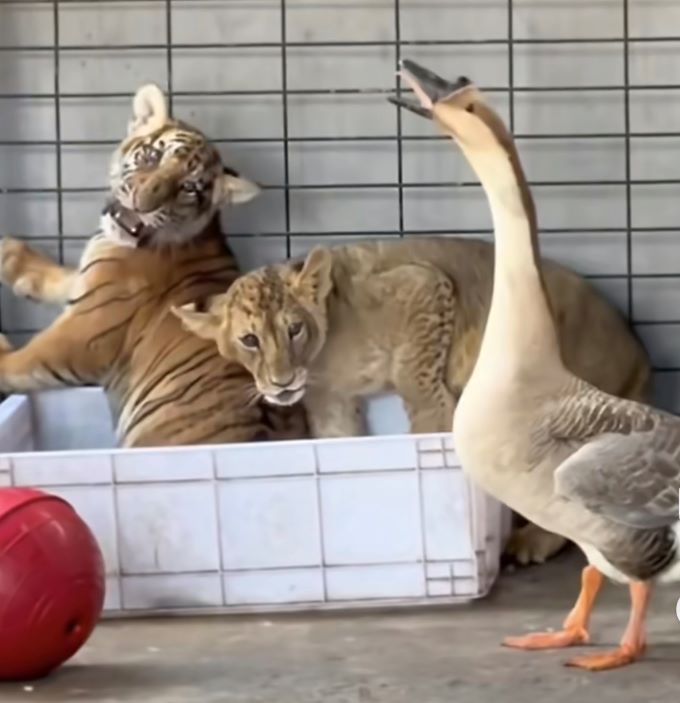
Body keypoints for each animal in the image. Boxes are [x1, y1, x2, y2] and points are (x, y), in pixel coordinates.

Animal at [0, 83, 308, 447]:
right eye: (151, 156)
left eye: (188, 187)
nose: (141, 203)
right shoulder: (87, 284)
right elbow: (61, 277)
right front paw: (10, 255)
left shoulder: (85, 333)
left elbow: (22, 360)